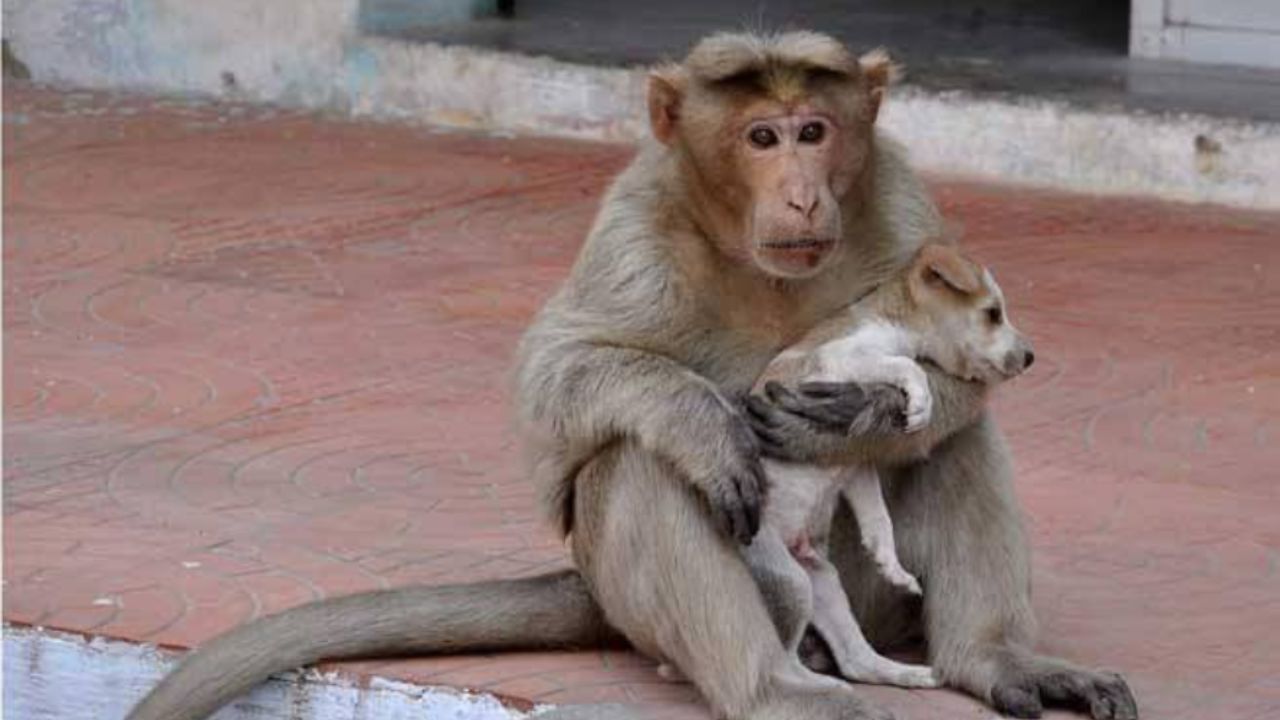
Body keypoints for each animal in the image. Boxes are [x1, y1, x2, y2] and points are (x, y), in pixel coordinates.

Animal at [122, 29, 1141, 717]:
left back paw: (987, 661)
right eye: (762, 139)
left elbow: (952, 396)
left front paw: (862, 416)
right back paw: (773, 686)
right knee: (639, 463)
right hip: (677, 591)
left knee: (955, 444)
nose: (802, 194)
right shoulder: (636, 221)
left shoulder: (900, 195)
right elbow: (560, 379)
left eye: (815, 129)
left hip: (862, 598)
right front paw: (717, 422)